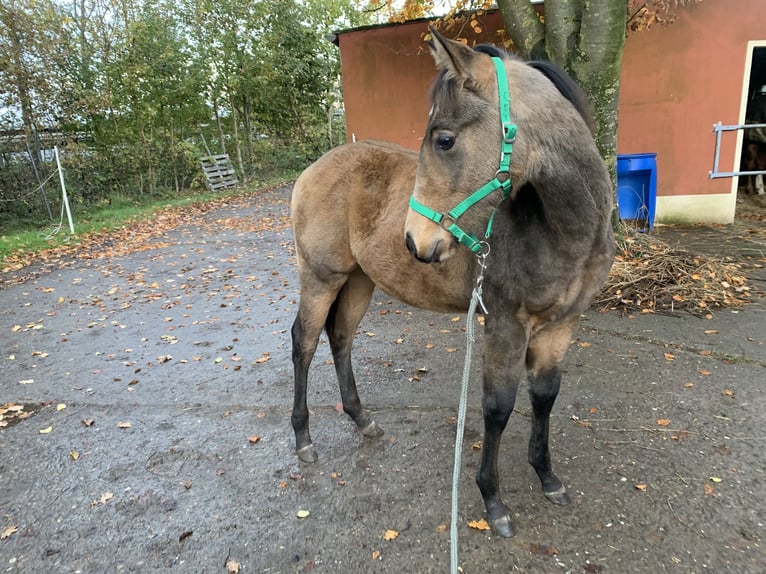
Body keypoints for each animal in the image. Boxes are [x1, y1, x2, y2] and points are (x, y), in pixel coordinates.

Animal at [290, 29, 616, 540]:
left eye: (444, 140)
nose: (415, 241)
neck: (561, 234)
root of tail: (314, 168)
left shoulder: (562, 325)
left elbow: (544, 397)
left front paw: (547, 477)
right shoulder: (505, 325)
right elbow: (498, 407)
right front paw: (493, 501)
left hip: (360, 282)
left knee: (340, 339)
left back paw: (363, 421)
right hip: (321, 277)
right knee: (303, 343)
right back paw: (303, 439)